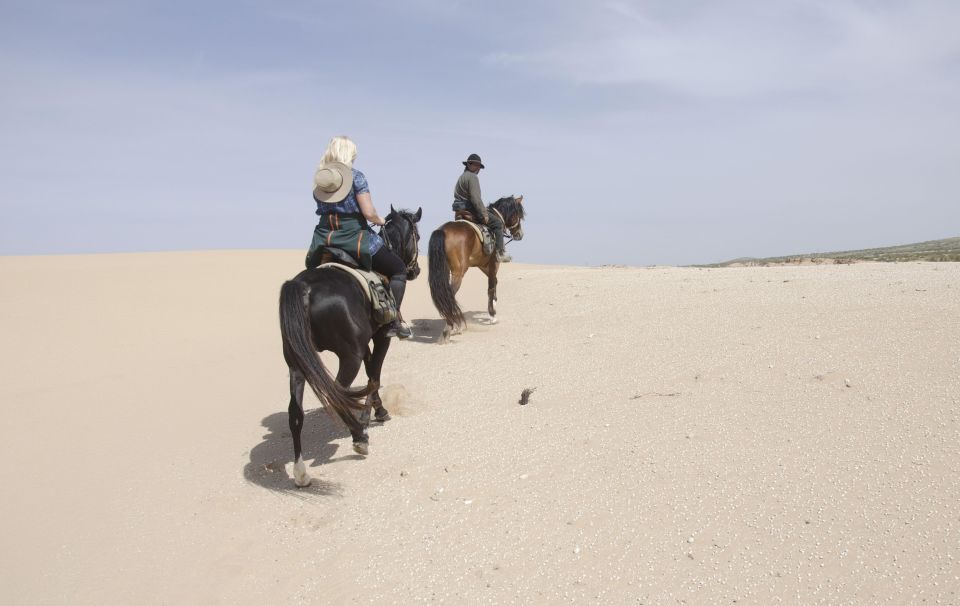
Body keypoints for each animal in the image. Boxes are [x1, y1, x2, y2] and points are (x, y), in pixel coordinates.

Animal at [282, 209, 424, 490]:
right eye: (417, 235)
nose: (415, 270)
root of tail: (304, 288)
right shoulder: (380, 338)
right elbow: (374, 376)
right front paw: (372, 416)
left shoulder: (364, 345)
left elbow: (371, 377)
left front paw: (377, 412)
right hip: (349, 357)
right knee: (337, 395)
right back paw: (359, 437)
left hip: (296, 363)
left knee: (295, 412)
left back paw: (301, 472)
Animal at [428, 195, 524, 342]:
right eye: (518, 214)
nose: (520, 234)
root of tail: (443, 230)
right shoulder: (493, 263)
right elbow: (491, 286)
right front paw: (492, 315)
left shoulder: (482, 264)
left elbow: (495, 282)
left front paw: (494, 304)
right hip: (458, 272)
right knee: (450, 294)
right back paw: (449, 329)